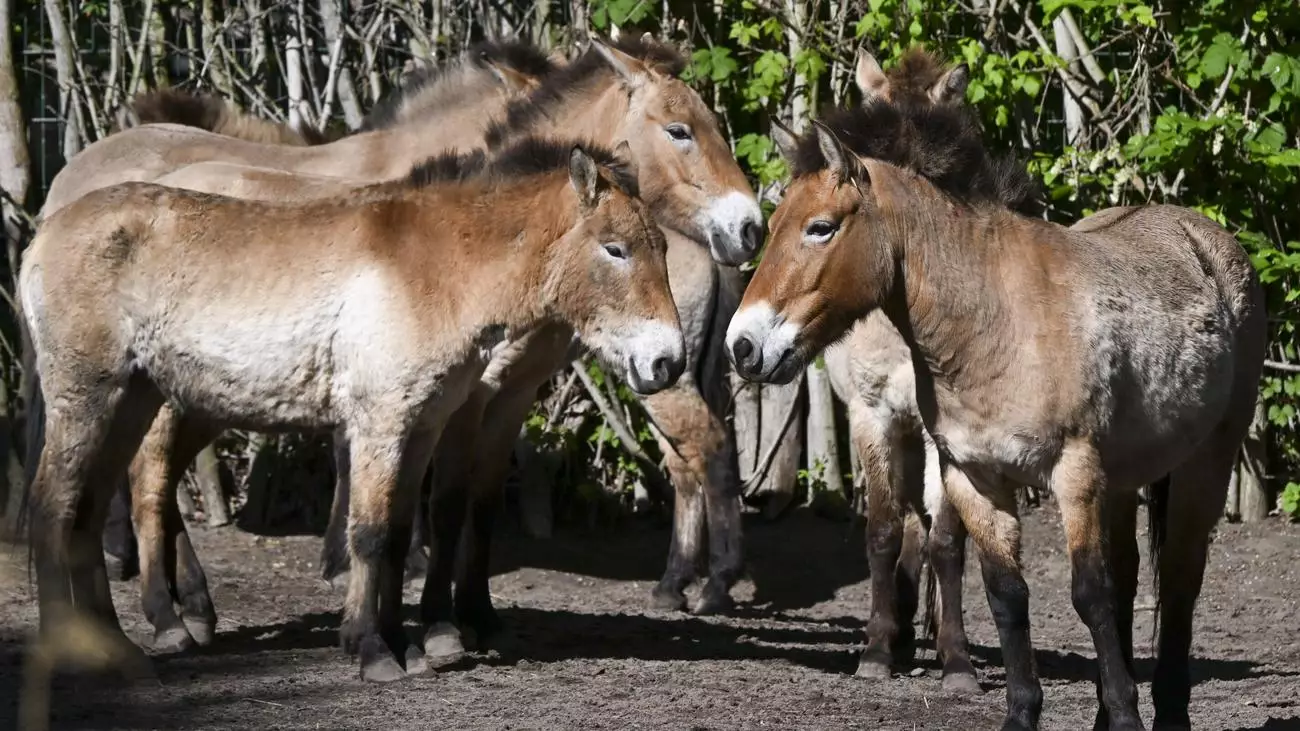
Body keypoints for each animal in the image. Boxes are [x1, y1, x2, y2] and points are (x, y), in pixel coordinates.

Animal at [40, 35, 762, 659]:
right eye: (680, 130)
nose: (750, 228)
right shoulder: (463, 394)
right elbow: (437, 504)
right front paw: (435, 621)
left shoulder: (500, 396)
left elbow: (468, 504)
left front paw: (467, 614)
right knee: (146, 476)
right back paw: (168, 613)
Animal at [727, 99, 1265, 729]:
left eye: (821, 227)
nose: (743, 346)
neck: (995, 322)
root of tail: (1209, 240)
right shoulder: (973, 476)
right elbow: (1007, 594)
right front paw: (1022, 712)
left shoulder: (1075, 473)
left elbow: (1089, 593)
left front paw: (1126, 715)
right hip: (1124, 480)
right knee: (1133, 576)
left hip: (1206, 462)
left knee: (1179, 577)